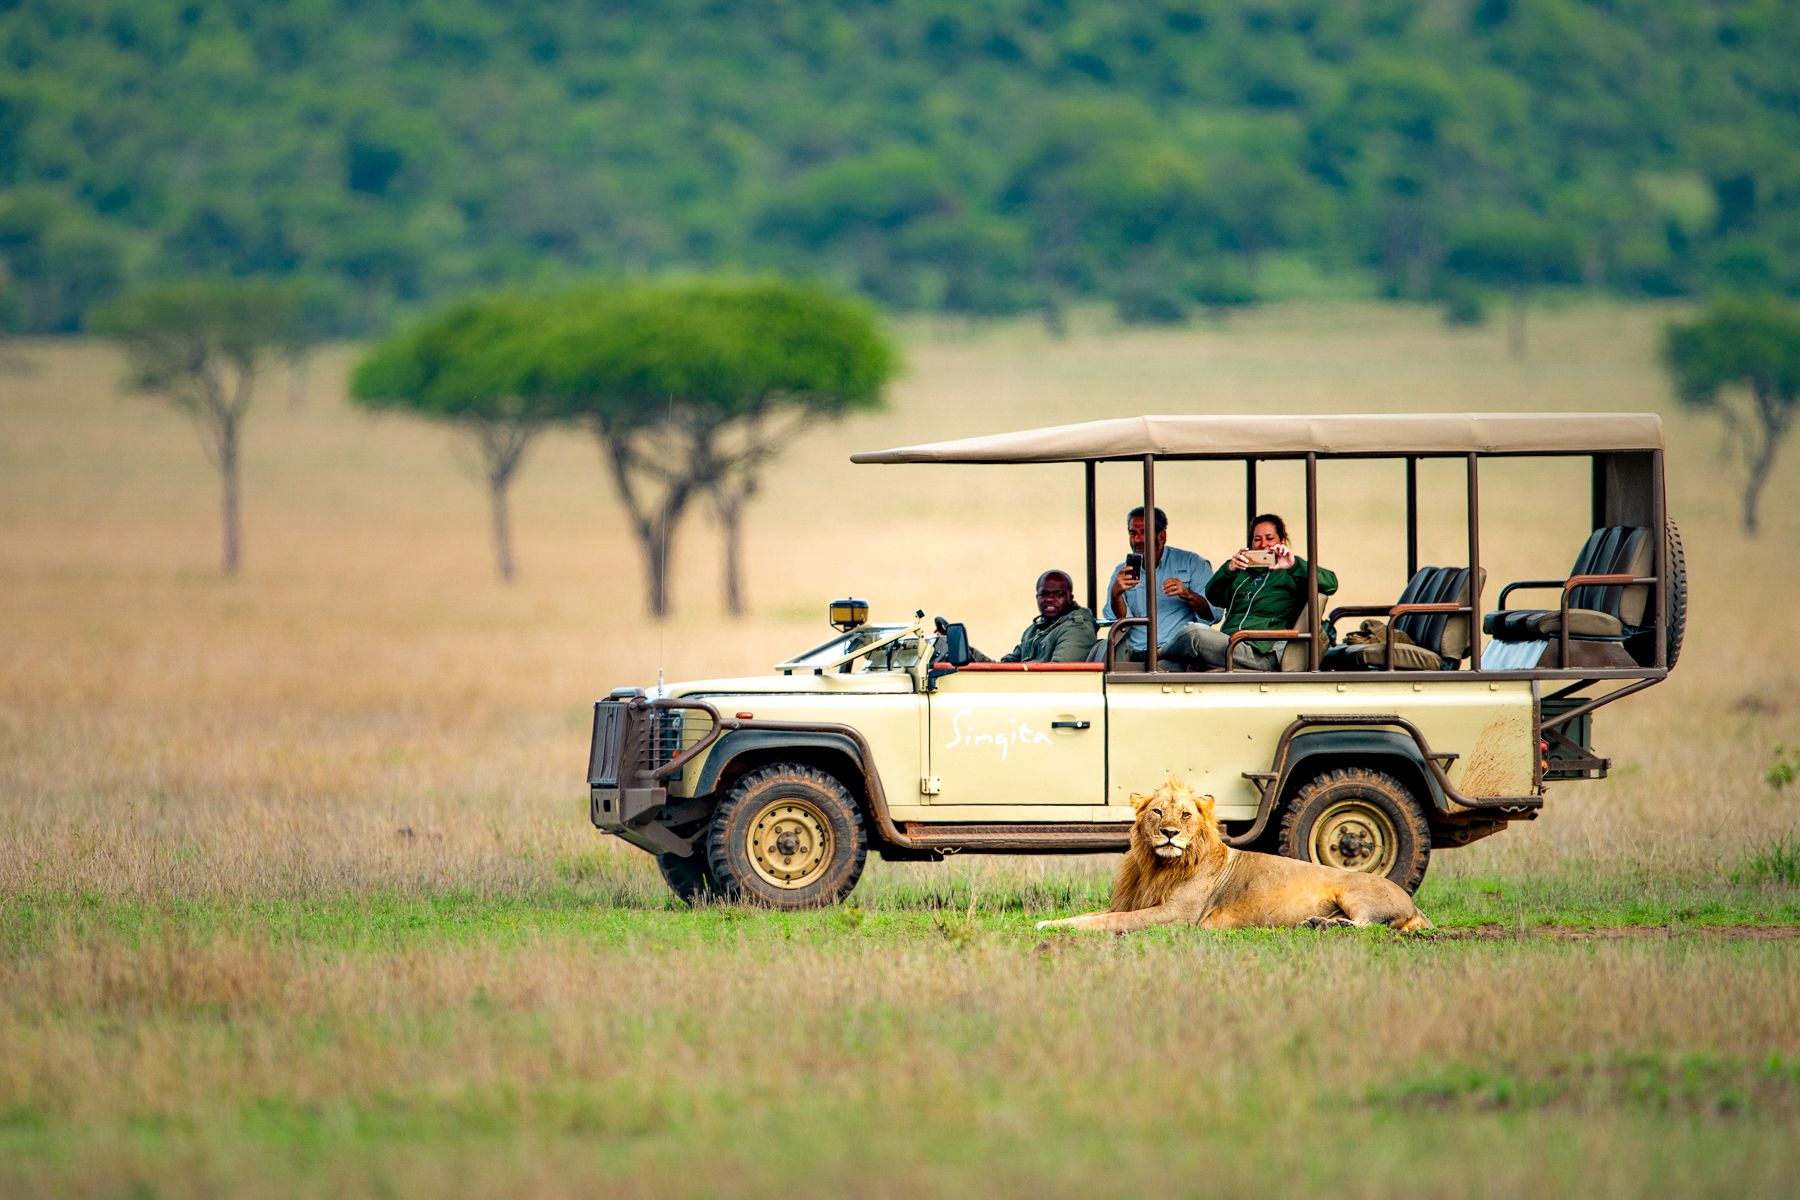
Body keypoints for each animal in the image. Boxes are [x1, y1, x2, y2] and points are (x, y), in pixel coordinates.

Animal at [1036, 778, 1430, 934]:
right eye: (1158, 812)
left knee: (1369, 924)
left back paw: (1321, 924)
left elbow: (1113, 922)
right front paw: (1050, 923)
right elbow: (1093, 915)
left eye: (1185, 815)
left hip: (1353, 891)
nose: (1169, 833)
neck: (1158, 867)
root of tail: (1414, 905)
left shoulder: (1178, 915)